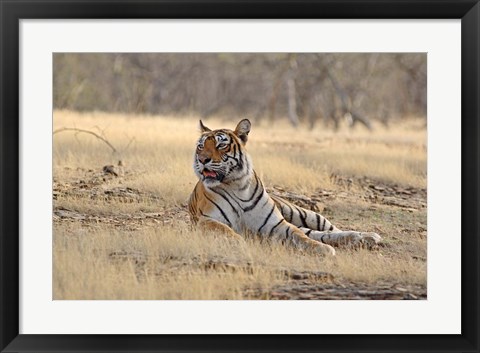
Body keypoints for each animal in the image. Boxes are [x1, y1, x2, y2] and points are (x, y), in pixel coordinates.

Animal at [188, 119, 382, 256]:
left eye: (221, 144)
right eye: (200, 146)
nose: (202, 160)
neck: (236, 186)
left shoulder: (277, 224)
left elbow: (300, 236)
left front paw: (323, 249)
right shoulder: (206, 220)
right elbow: (226, 231)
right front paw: (239, 243)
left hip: (304, 214)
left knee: (331, 230)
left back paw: (367, 237)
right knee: (319, 233)